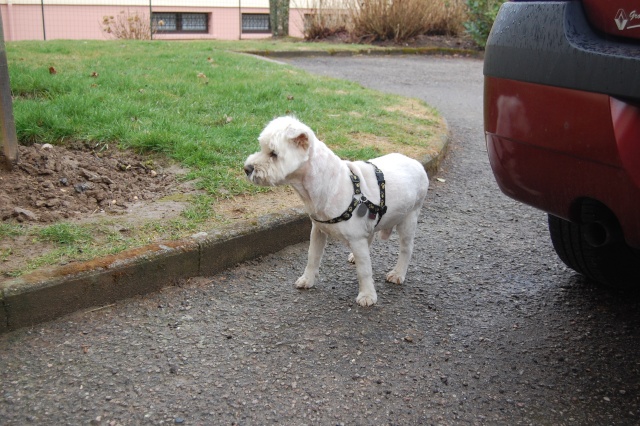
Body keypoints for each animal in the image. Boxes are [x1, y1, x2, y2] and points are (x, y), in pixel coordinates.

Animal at [245, 116, 430, 306]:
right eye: (262, 148)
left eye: (274, 154)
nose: (247, 169)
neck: (324, 183)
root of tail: (416, 163)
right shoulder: (318, 230)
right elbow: (313, 256)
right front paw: (307, 279)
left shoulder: (356, 238)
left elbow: (364, 271)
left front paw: (367, 295)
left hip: (409, 219)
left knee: (406, 249)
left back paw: (398, 273)